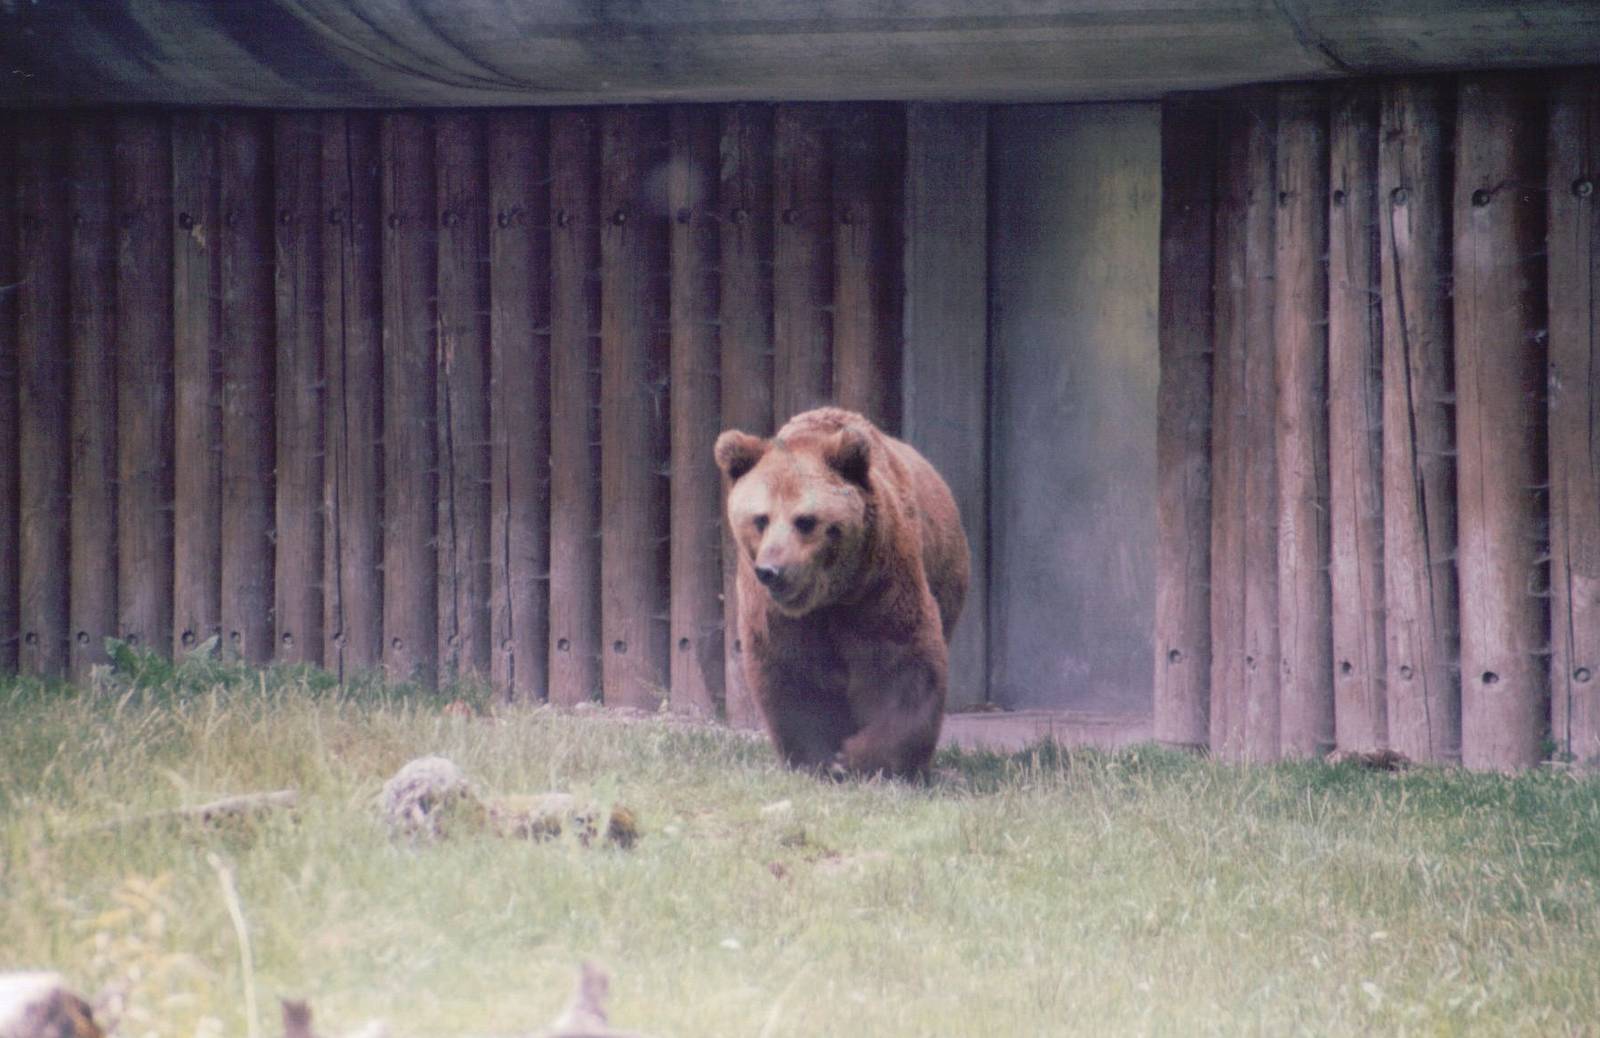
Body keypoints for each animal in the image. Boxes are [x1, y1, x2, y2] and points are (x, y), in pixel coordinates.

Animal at [714, 407, 969, 778]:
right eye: (760, 519)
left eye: (805, 520)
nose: (772, 571)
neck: (829, 596)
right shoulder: (777, 615)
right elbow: (793, 675)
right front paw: (818, 758)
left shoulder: (879, 586)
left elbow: (902, 663)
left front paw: (863, 759)